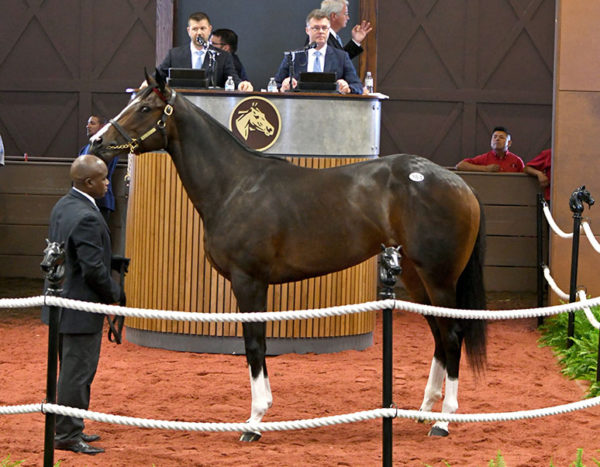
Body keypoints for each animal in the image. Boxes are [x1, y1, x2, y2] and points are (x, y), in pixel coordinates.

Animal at [89, 71, 486, 440]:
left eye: (144, 108)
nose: (97, 141)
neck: (235, 186)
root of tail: (461, 185)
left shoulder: (248, 281)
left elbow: (254, 344)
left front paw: (255, 421)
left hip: (439, 277)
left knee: (452, 335)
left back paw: (444, 421)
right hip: (416, 279)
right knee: (439, 334)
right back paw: (424, 410)